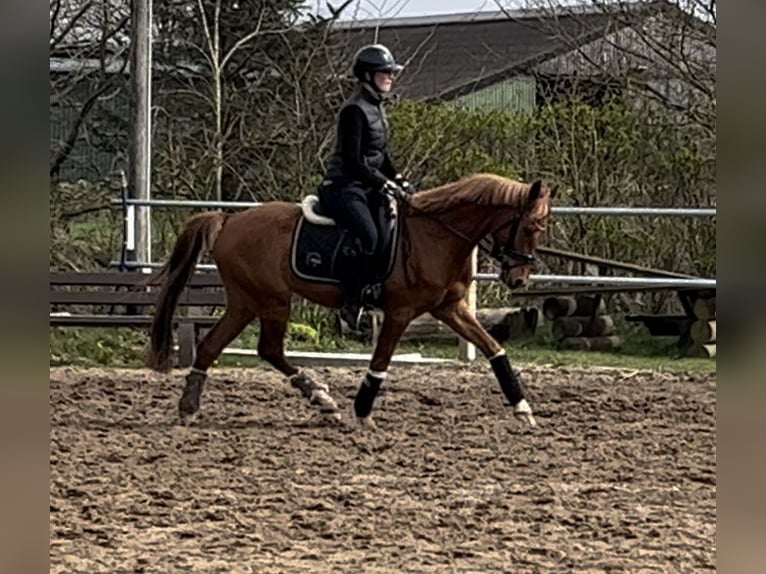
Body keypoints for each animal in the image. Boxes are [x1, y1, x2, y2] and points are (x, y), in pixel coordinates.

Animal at [146, 173, 560, 430]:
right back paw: (319, 398)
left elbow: (494, 349)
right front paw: (363, 412)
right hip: (270, 300)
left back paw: (191, 407)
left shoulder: (451, 309)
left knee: (217, 346)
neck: (436, 235)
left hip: (246, 301)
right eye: (531, 226)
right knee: (267, 349)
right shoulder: (400, 312)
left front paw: (523, 408)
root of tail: (229, 221)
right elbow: (380, 363)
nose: (519, 278)